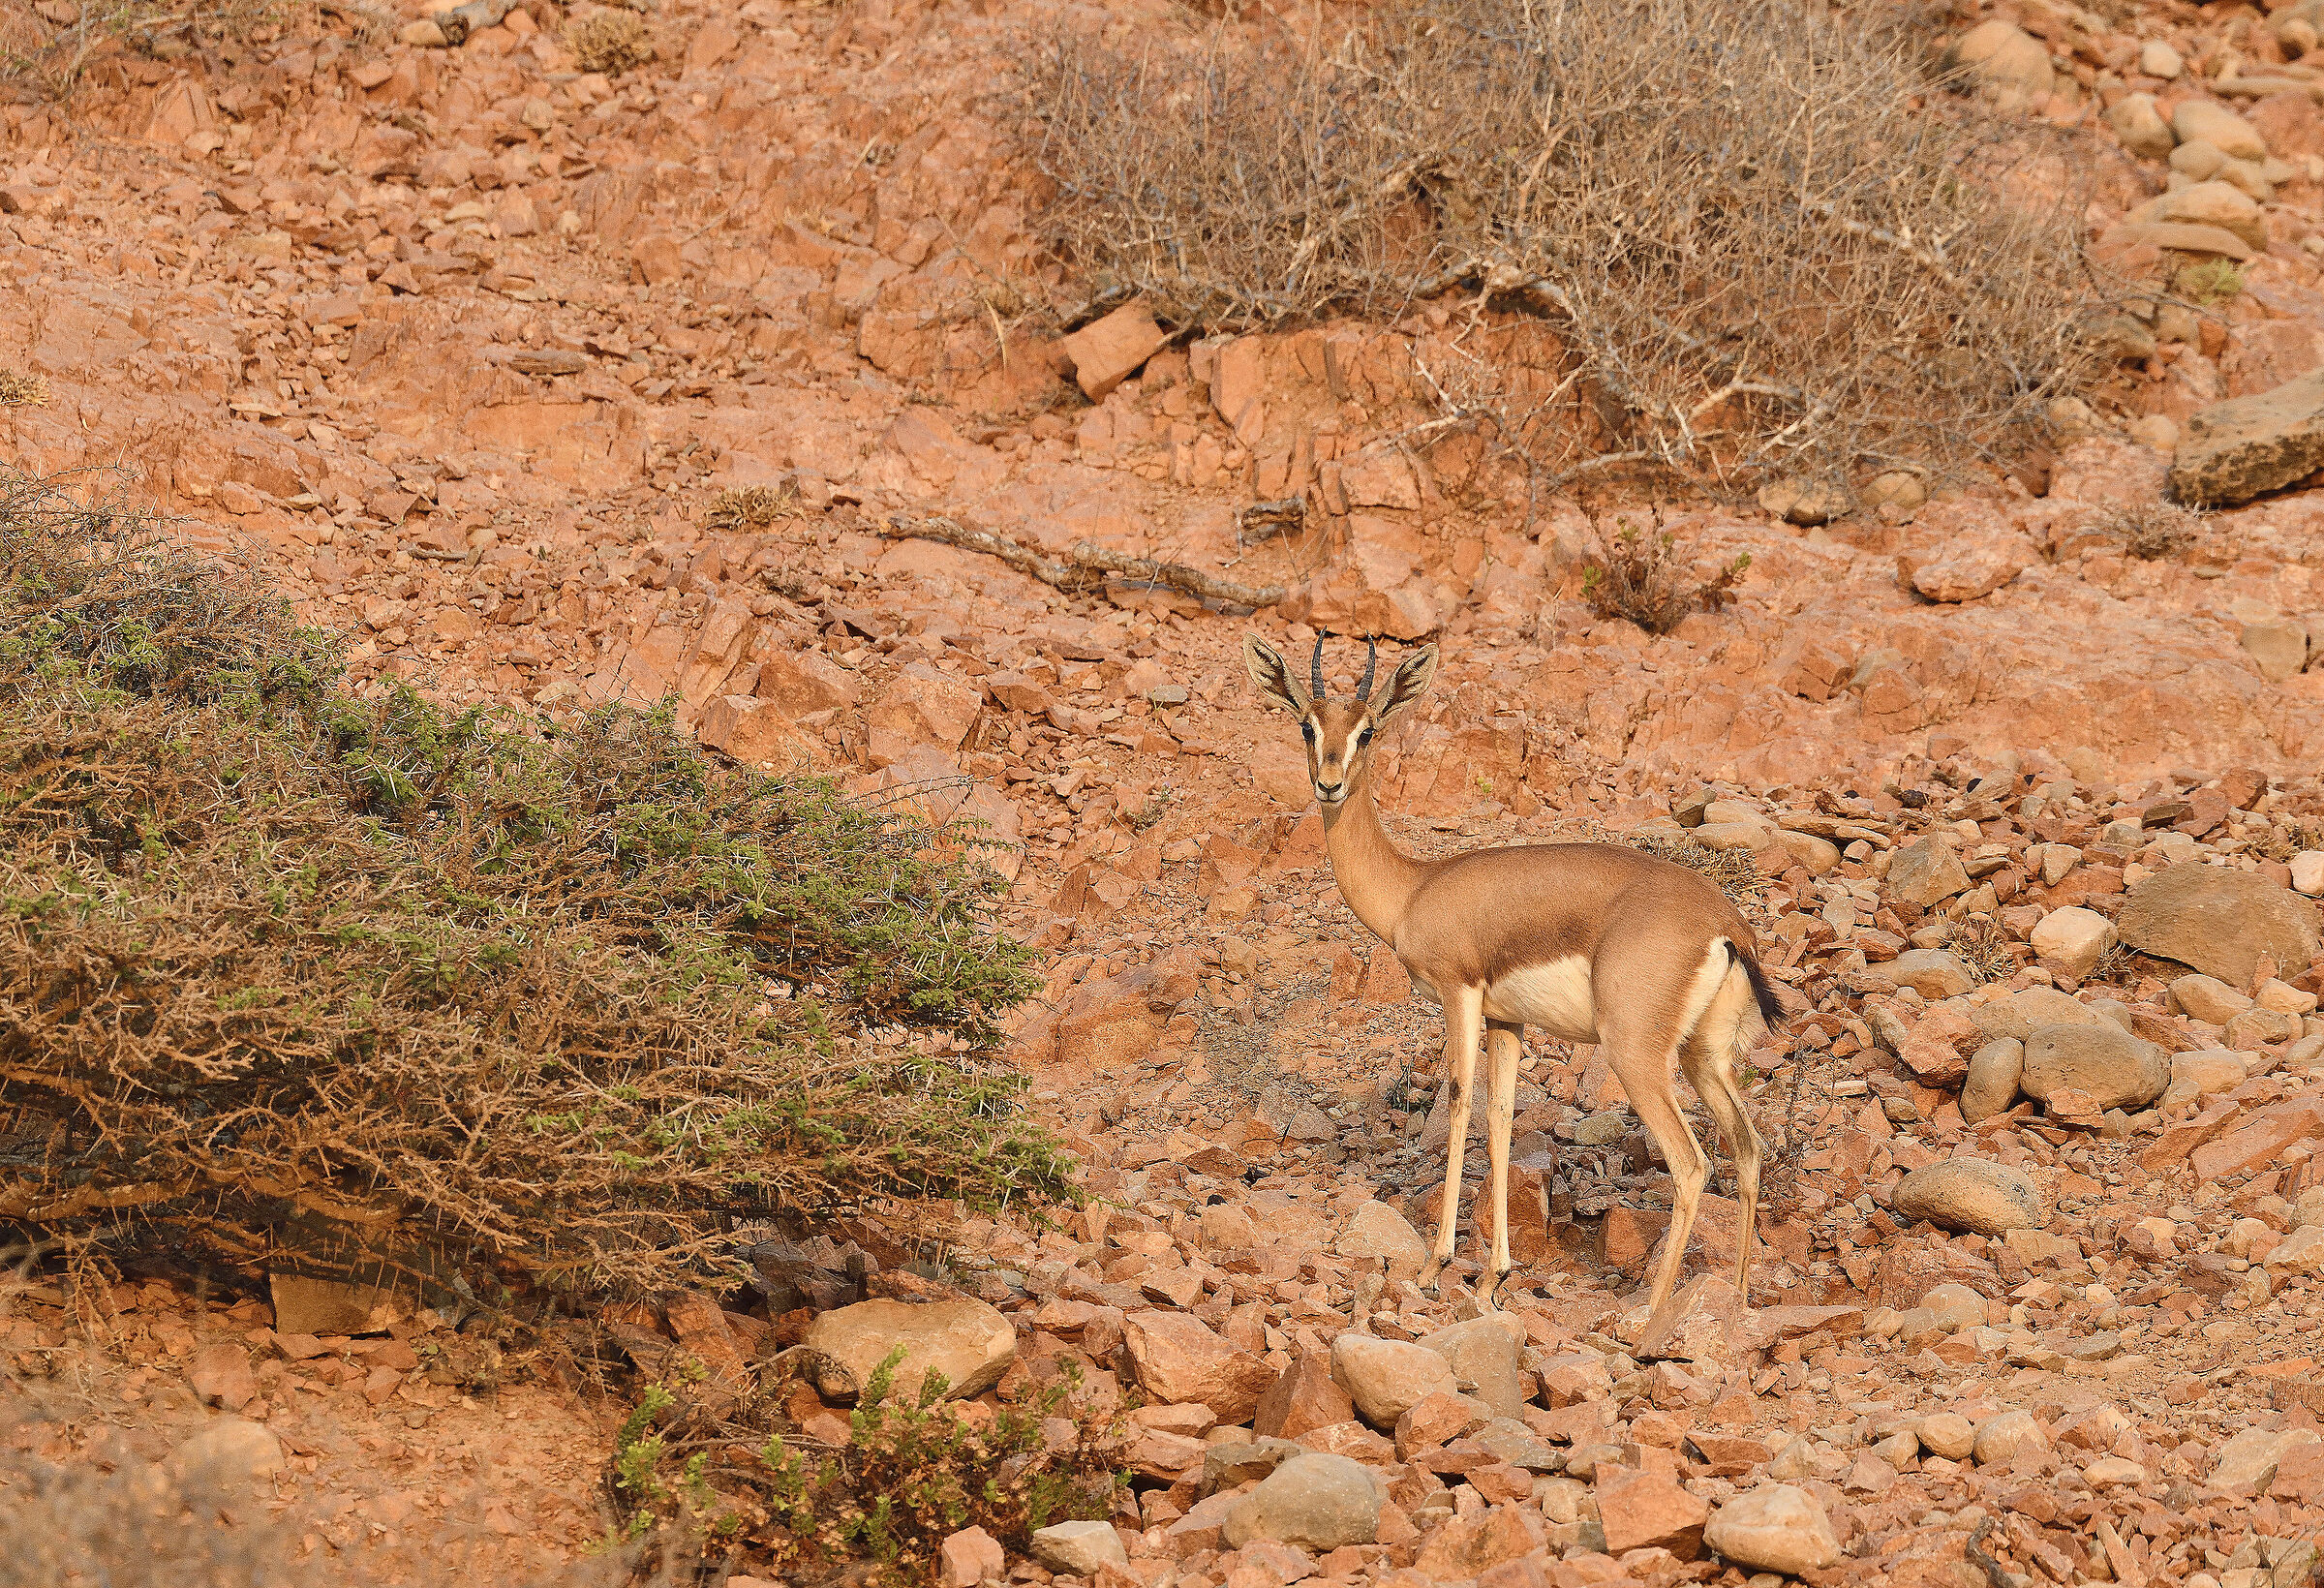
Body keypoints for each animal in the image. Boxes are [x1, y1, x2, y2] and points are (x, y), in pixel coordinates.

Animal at [1242, 632, 1782, 1318]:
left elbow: (1459, 1100)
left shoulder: (1460, 994)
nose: (1329, 783)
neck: (1415, 889)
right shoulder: (1507, 1021)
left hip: (1635, 1053)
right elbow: (1501, 1116)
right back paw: (1734, 1298)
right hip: (1703, 1056)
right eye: (1307, 724)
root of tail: (1724, 924)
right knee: (1746, 1147)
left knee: (1690, 1164)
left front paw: (1437, 1264)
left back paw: (1647, 1311)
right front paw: (1493, 1274)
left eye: (1368, 730)